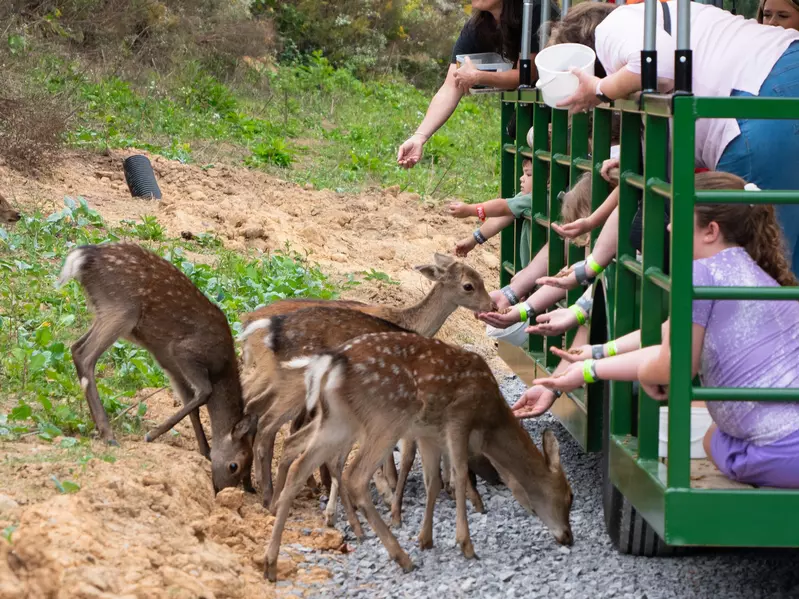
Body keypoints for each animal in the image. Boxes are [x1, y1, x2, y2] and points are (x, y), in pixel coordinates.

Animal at [56, 241, 256, 494]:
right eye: (234, 465)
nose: (220, 490)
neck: (221, 367)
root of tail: (82, 256)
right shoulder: (185, 352)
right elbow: (204, 393)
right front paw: (152, 435)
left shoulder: (168, 363)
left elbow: (191, 403)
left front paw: (205, 452)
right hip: (121, 309)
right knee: (84, 355)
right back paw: (108, 434)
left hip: (105, 310)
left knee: (74, 347)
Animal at [238, 253, 500, 510]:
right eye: (469, 285)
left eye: (482, 279)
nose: (493, 305)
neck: (409, 322)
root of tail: (251, 322)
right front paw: (391, 486)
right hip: (286, 379)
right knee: (266, 419)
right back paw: (269, 495)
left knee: (258, 409)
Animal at [268, 330, 576, 584]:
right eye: (569, 496)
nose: (569, 537)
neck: (489, 421)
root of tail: (331, 364)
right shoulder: (458, 418)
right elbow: (459, 475)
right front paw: (466, 544)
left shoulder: (428, 433)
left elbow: (433, 482)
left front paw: (425, 539)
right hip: (386, 416)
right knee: (354, 475)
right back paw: (401, 557)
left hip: (338, 421)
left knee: (299, 466)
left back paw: (270, 562)